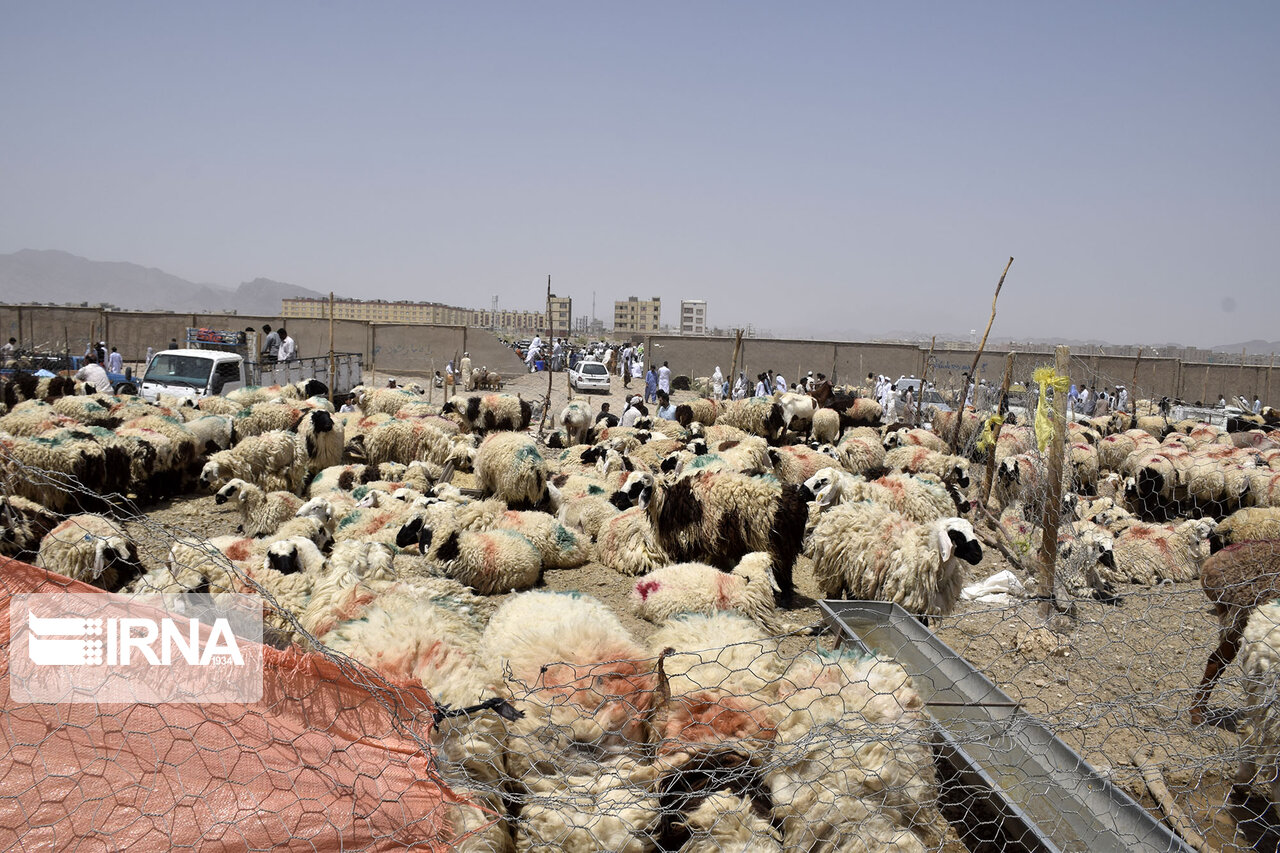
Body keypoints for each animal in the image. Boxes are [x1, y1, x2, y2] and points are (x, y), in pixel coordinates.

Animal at [622, 468, 808, 601]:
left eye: (636, 485)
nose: (618, 498)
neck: (666, 500)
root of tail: (797, 500)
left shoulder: (687, 539)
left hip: (778, 543)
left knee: (783, 571)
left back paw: (784, 599)